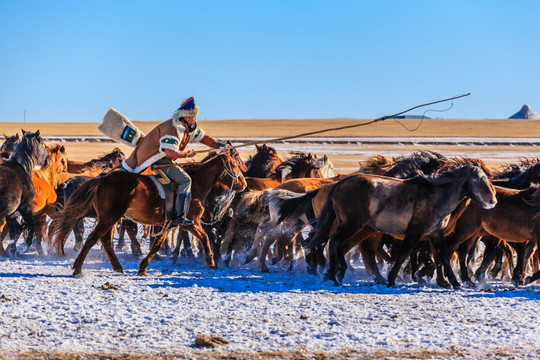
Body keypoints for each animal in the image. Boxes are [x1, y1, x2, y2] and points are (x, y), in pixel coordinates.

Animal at [50, 148, 245, 276]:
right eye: (234, 164)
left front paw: (143, 267)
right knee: (93, 238)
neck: (196, 184)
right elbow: (204, 237)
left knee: (106, 240)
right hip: (109, 218)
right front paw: (211, 262)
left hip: (111, 218)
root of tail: (103, 179)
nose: (243, 183)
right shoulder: (191, 221)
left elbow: (157, 244)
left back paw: (117, 267)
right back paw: (78, 268)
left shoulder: (169, 223)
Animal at [308, 160, 498, 286]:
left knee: (336, 243)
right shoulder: (414, 231)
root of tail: (339, 184)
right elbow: (404, 253)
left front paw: (453, 282)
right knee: (336, 242)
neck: (435, 196)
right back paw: (339, 273)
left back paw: (332, 276)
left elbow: (442, 255)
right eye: (480, 179)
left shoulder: (435, 233)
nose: (493, 201)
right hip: (353, 225)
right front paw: (392, 279)